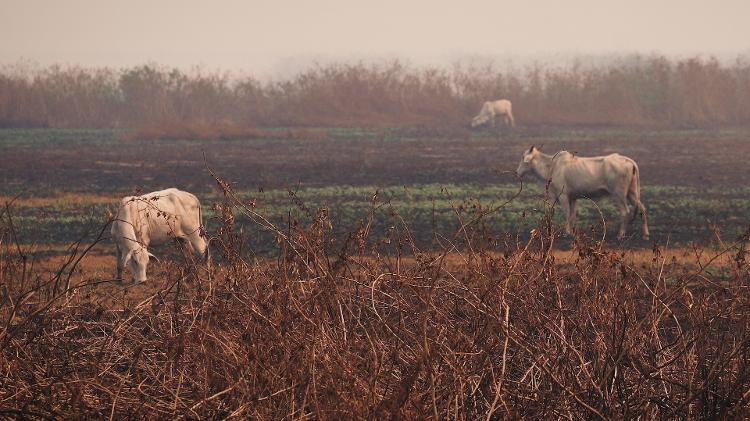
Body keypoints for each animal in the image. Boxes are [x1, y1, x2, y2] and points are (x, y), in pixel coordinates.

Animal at [516, 146, 652, 240]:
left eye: (523, 158)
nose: (517, 172)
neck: (551, 166)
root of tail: (629, 161)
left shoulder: (563, 196)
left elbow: (567, 214)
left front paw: (567, 233)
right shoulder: (573, 198)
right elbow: (572, 215)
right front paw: (572, 232)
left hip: (619, 195)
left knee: (625, 212)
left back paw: (620, 235)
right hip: (632, 193)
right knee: (641, 209)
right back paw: (645, 235)